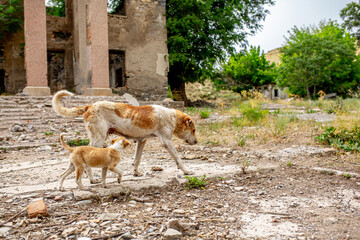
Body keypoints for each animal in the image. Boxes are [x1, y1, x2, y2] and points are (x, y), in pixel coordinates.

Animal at [51, 91, 197, 177]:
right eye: (194, 130)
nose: (196, 142)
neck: (171, 116)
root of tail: (89, 106)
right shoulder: (167, 142)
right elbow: (178, 158)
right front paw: (186, 171)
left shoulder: (141, 141)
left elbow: (137, 160)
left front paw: (136, 173)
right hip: (98, 139)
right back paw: (92, 179)